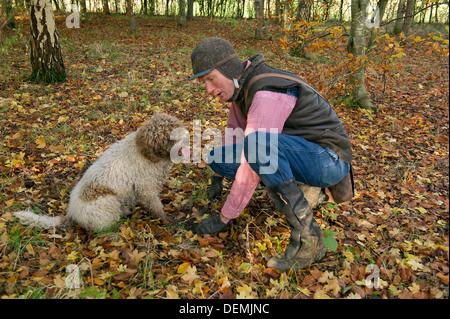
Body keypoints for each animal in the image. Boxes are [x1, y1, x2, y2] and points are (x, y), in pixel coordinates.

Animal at [14, 113, 185, 232]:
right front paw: (166, 219)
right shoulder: (147, 190)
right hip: (107, 201)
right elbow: (157, 208)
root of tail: (71, 214)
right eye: (169, 136)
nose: (185, 138)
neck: (145, 152)